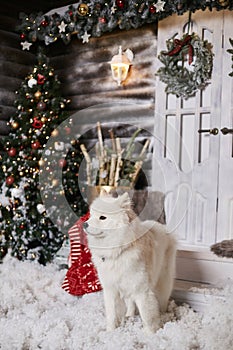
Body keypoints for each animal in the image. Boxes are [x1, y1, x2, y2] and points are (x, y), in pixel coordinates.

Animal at [84, 193, 177, 334]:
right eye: (91, 215)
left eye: (102, 217)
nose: (84, 224)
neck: (118, 251)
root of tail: (161, 226)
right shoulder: (111, 289)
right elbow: (112, 314)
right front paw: (110, 332)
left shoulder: (141, 290)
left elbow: (147, 316)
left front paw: (151, 334)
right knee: (130, 301)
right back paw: (129, 315)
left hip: (163, 281)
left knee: (162, 300)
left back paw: (164, 315)